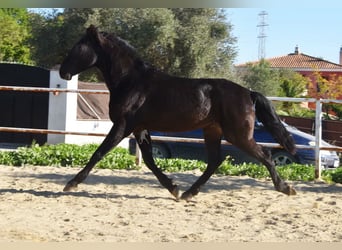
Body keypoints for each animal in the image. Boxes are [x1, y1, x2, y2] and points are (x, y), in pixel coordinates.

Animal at [59, 24, 296, 201]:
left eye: (78, 47)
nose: (62, 72)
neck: (131, 81)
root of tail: (248, 93)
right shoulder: (140, 128)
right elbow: (149, 160)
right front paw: (173, 188)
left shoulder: (123, 125)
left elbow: (99, 153)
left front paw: (71, 184)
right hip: (213, 131)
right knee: (215, 161)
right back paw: (189, 193)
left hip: (238, 135)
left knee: (265, 155)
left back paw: (285, 188)